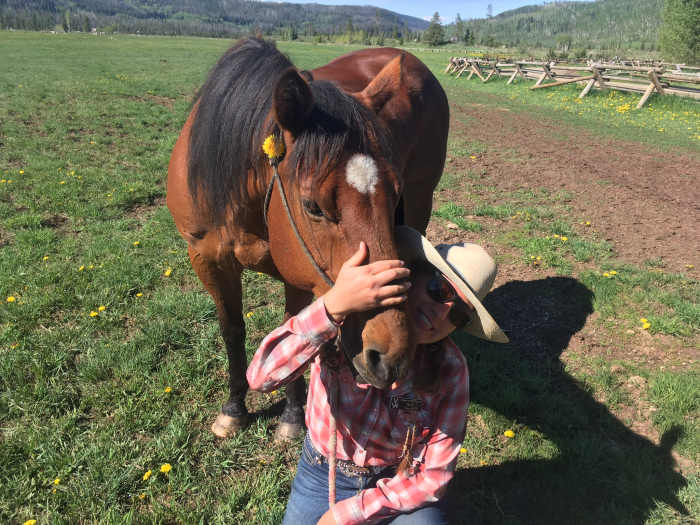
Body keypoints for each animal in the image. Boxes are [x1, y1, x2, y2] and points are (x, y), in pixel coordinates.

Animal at [166, 38, 449, 440]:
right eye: (312, 206)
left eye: (393, 197)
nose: (391, 354)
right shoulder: (207, 259)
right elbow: (233, 330)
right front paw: (234, 408)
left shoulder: (296, 270)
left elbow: (294, 326)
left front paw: (292, 415)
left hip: (422, 200)